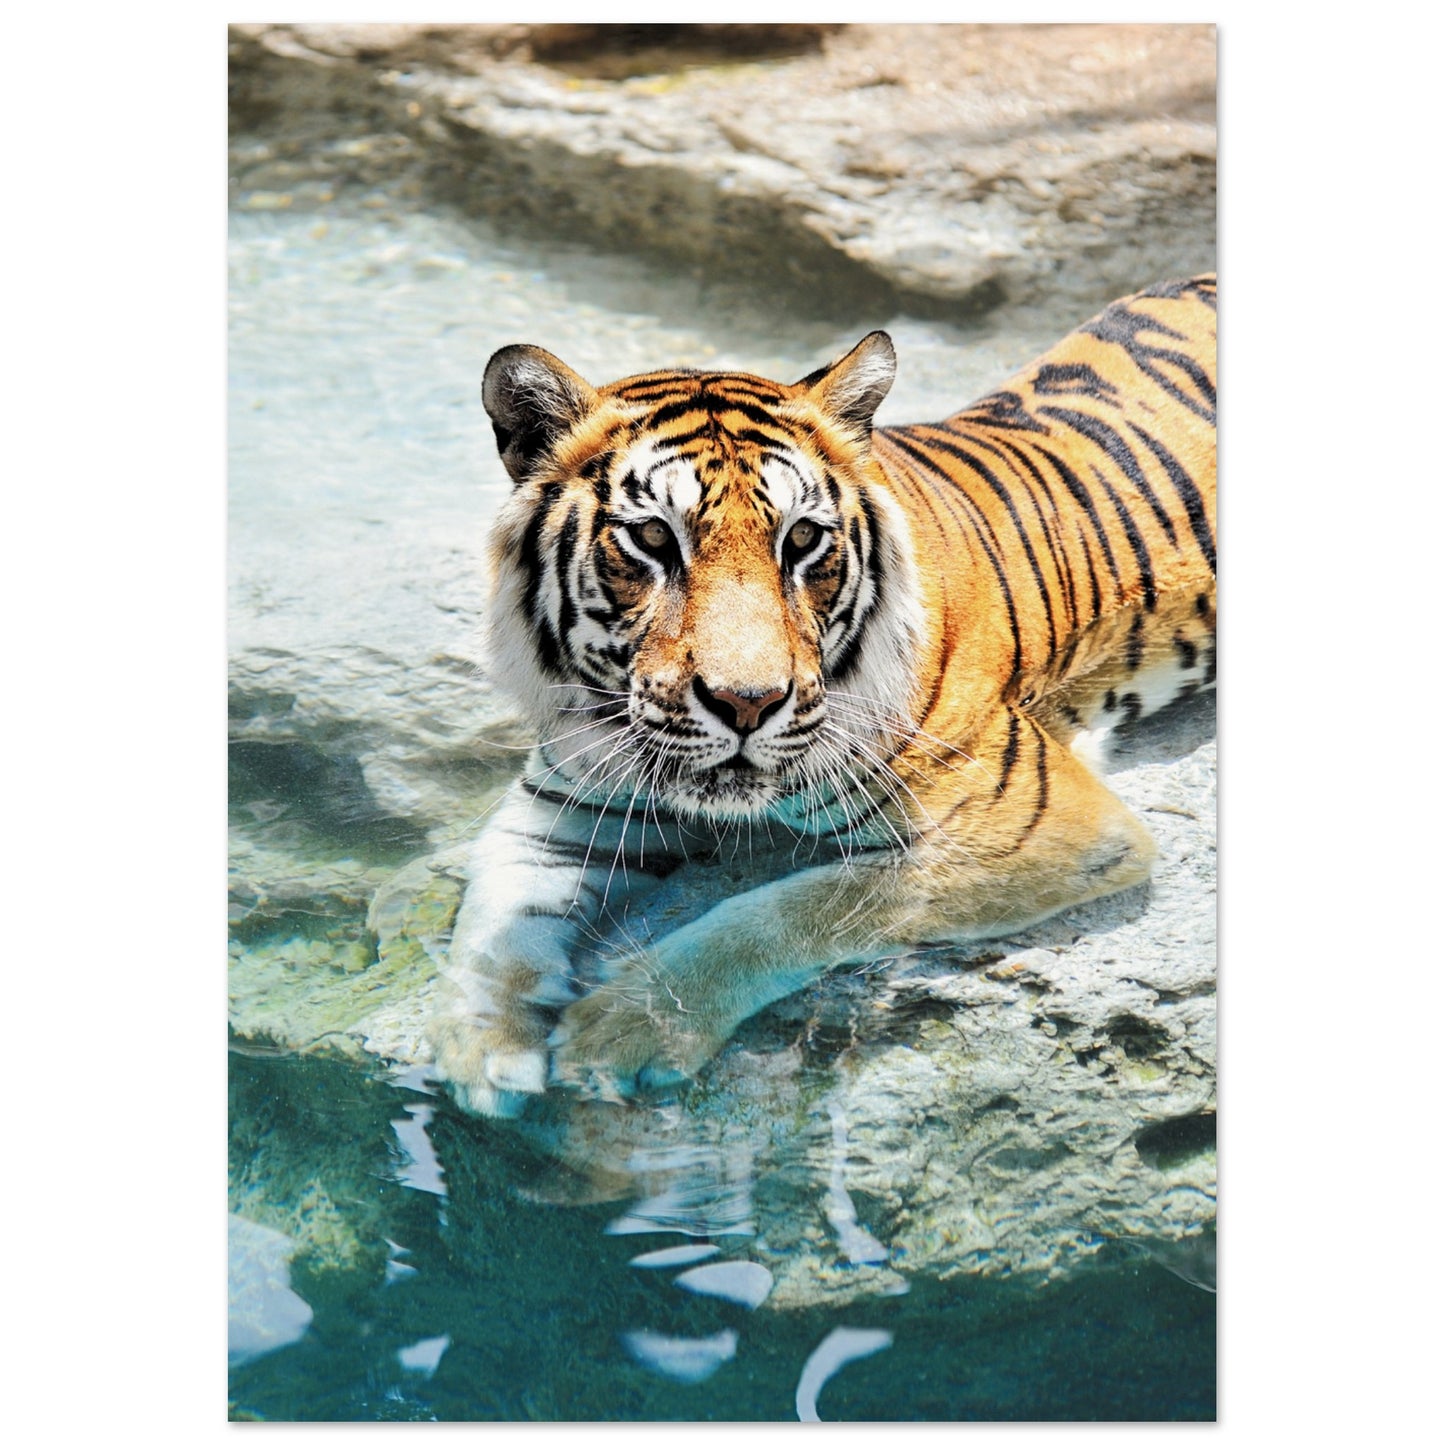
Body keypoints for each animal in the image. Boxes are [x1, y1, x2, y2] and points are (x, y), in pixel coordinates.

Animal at [430, 274, 1217, 1118]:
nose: (746, 702)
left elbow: (794, 906)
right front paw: (480, 1050)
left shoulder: (1039, 824)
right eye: (652, 539)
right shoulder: (561, 801)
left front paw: (625, 1026)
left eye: (802, 540)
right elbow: (494, 917)